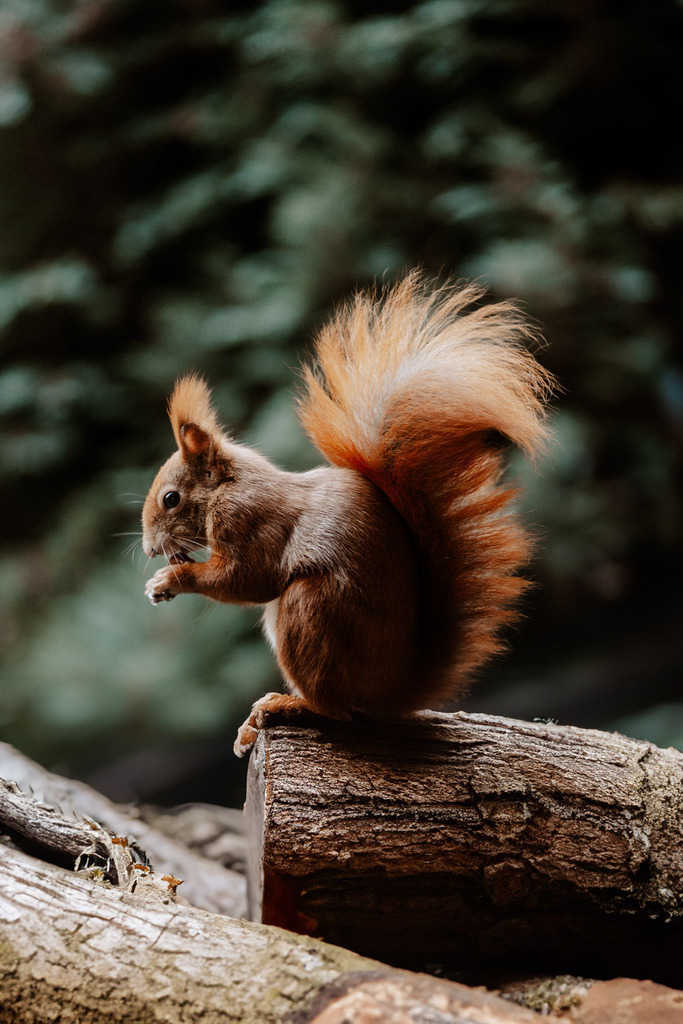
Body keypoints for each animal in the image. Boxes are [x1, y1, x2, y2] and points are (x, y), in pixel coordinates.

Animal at [142, 272, 554, 755]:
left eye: (171, 498)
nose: (149, 550)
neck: (230, 484)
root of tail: (391, 691)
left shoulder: (249, 519)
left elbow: (250, 579)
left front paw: (170, 580)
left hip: (311, 611)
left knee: (336, 710)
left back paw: (287, 706)